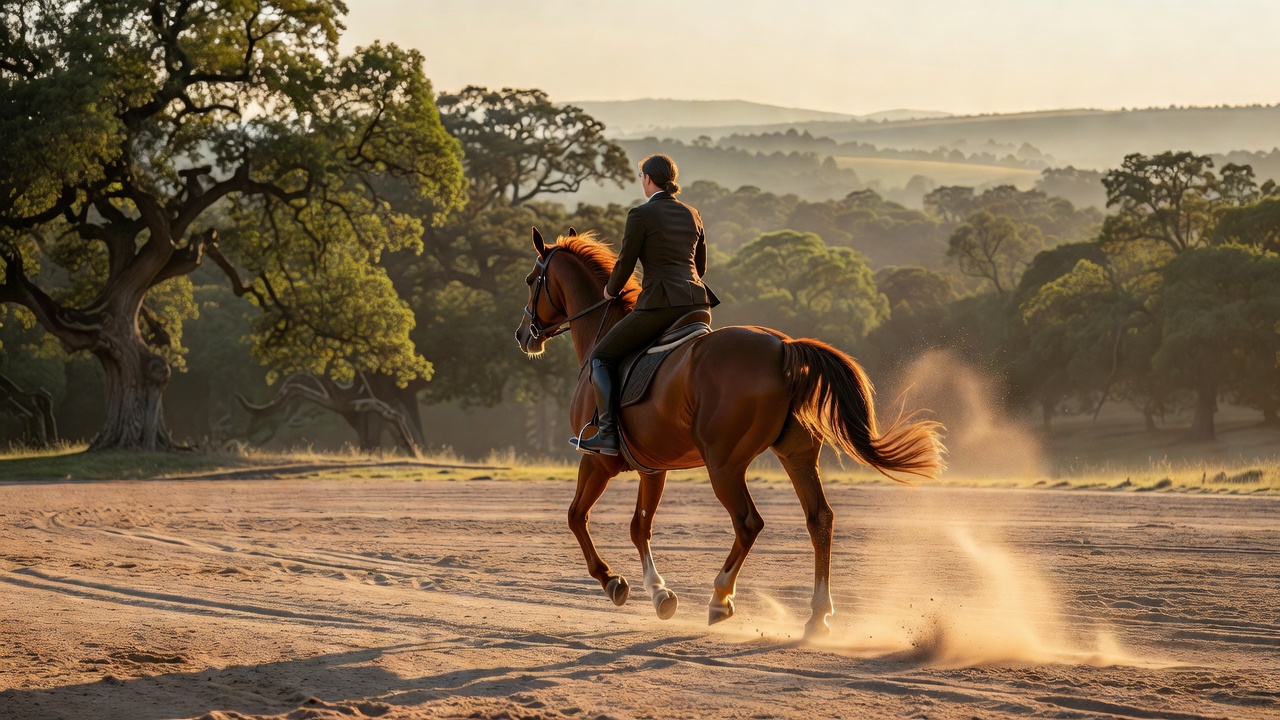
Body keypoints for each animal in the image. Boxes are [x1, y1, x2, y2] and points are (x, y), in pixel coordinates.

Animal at [514, 227, 944, 637]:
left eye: (532, 279)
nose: (522, 335)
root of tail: (783, 346)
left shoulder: (596, 461)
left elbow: (576, 517)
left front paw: (612, 582)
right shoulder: (654, 468)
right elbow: (639, 527)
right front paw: (659, 594)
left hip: (723, 465)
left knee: (748, 523)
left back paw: (720, 599)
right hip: (795, 456)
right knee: (819, 519)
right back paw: (818, 616)